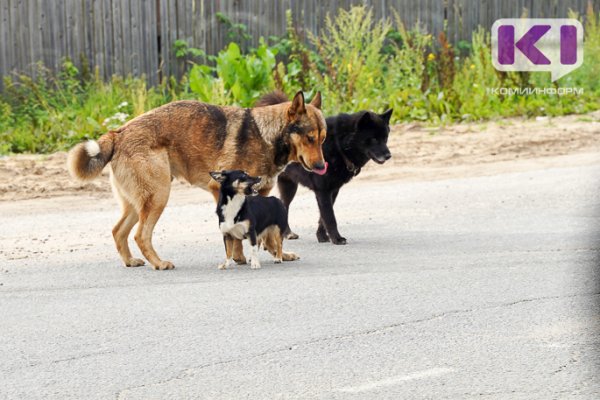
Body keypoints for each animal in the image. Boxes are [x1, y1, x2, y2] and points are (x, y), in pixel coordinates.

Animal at [67, 92, 326, 270]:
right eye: (309, 138)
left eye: (323, 139)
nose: (322, 167)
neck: (268, 135)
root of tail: (118, 132)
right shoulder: (221, 189)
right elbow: (238, 239)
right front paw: (240, 257)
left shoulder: (260, 198)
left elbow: (267, 235)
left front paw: (278, 254)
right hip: (158, 197)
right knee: (141, 235)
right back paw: (159, 263)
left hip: (137, 203)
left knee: (118, 231)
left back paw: (130, 260)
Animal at [254, 92, 392, 245]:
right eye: (373, 139)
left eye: (385, 138)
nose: (388, 156)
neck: (339, 145)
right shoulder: (323, 191)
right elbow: (330, 217)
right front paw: (337, 238)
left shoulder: (332, 191)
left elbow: (323, 218)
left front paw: (322, 236)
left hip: (289, 186)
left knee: (284, 205)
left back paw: (286, 233)